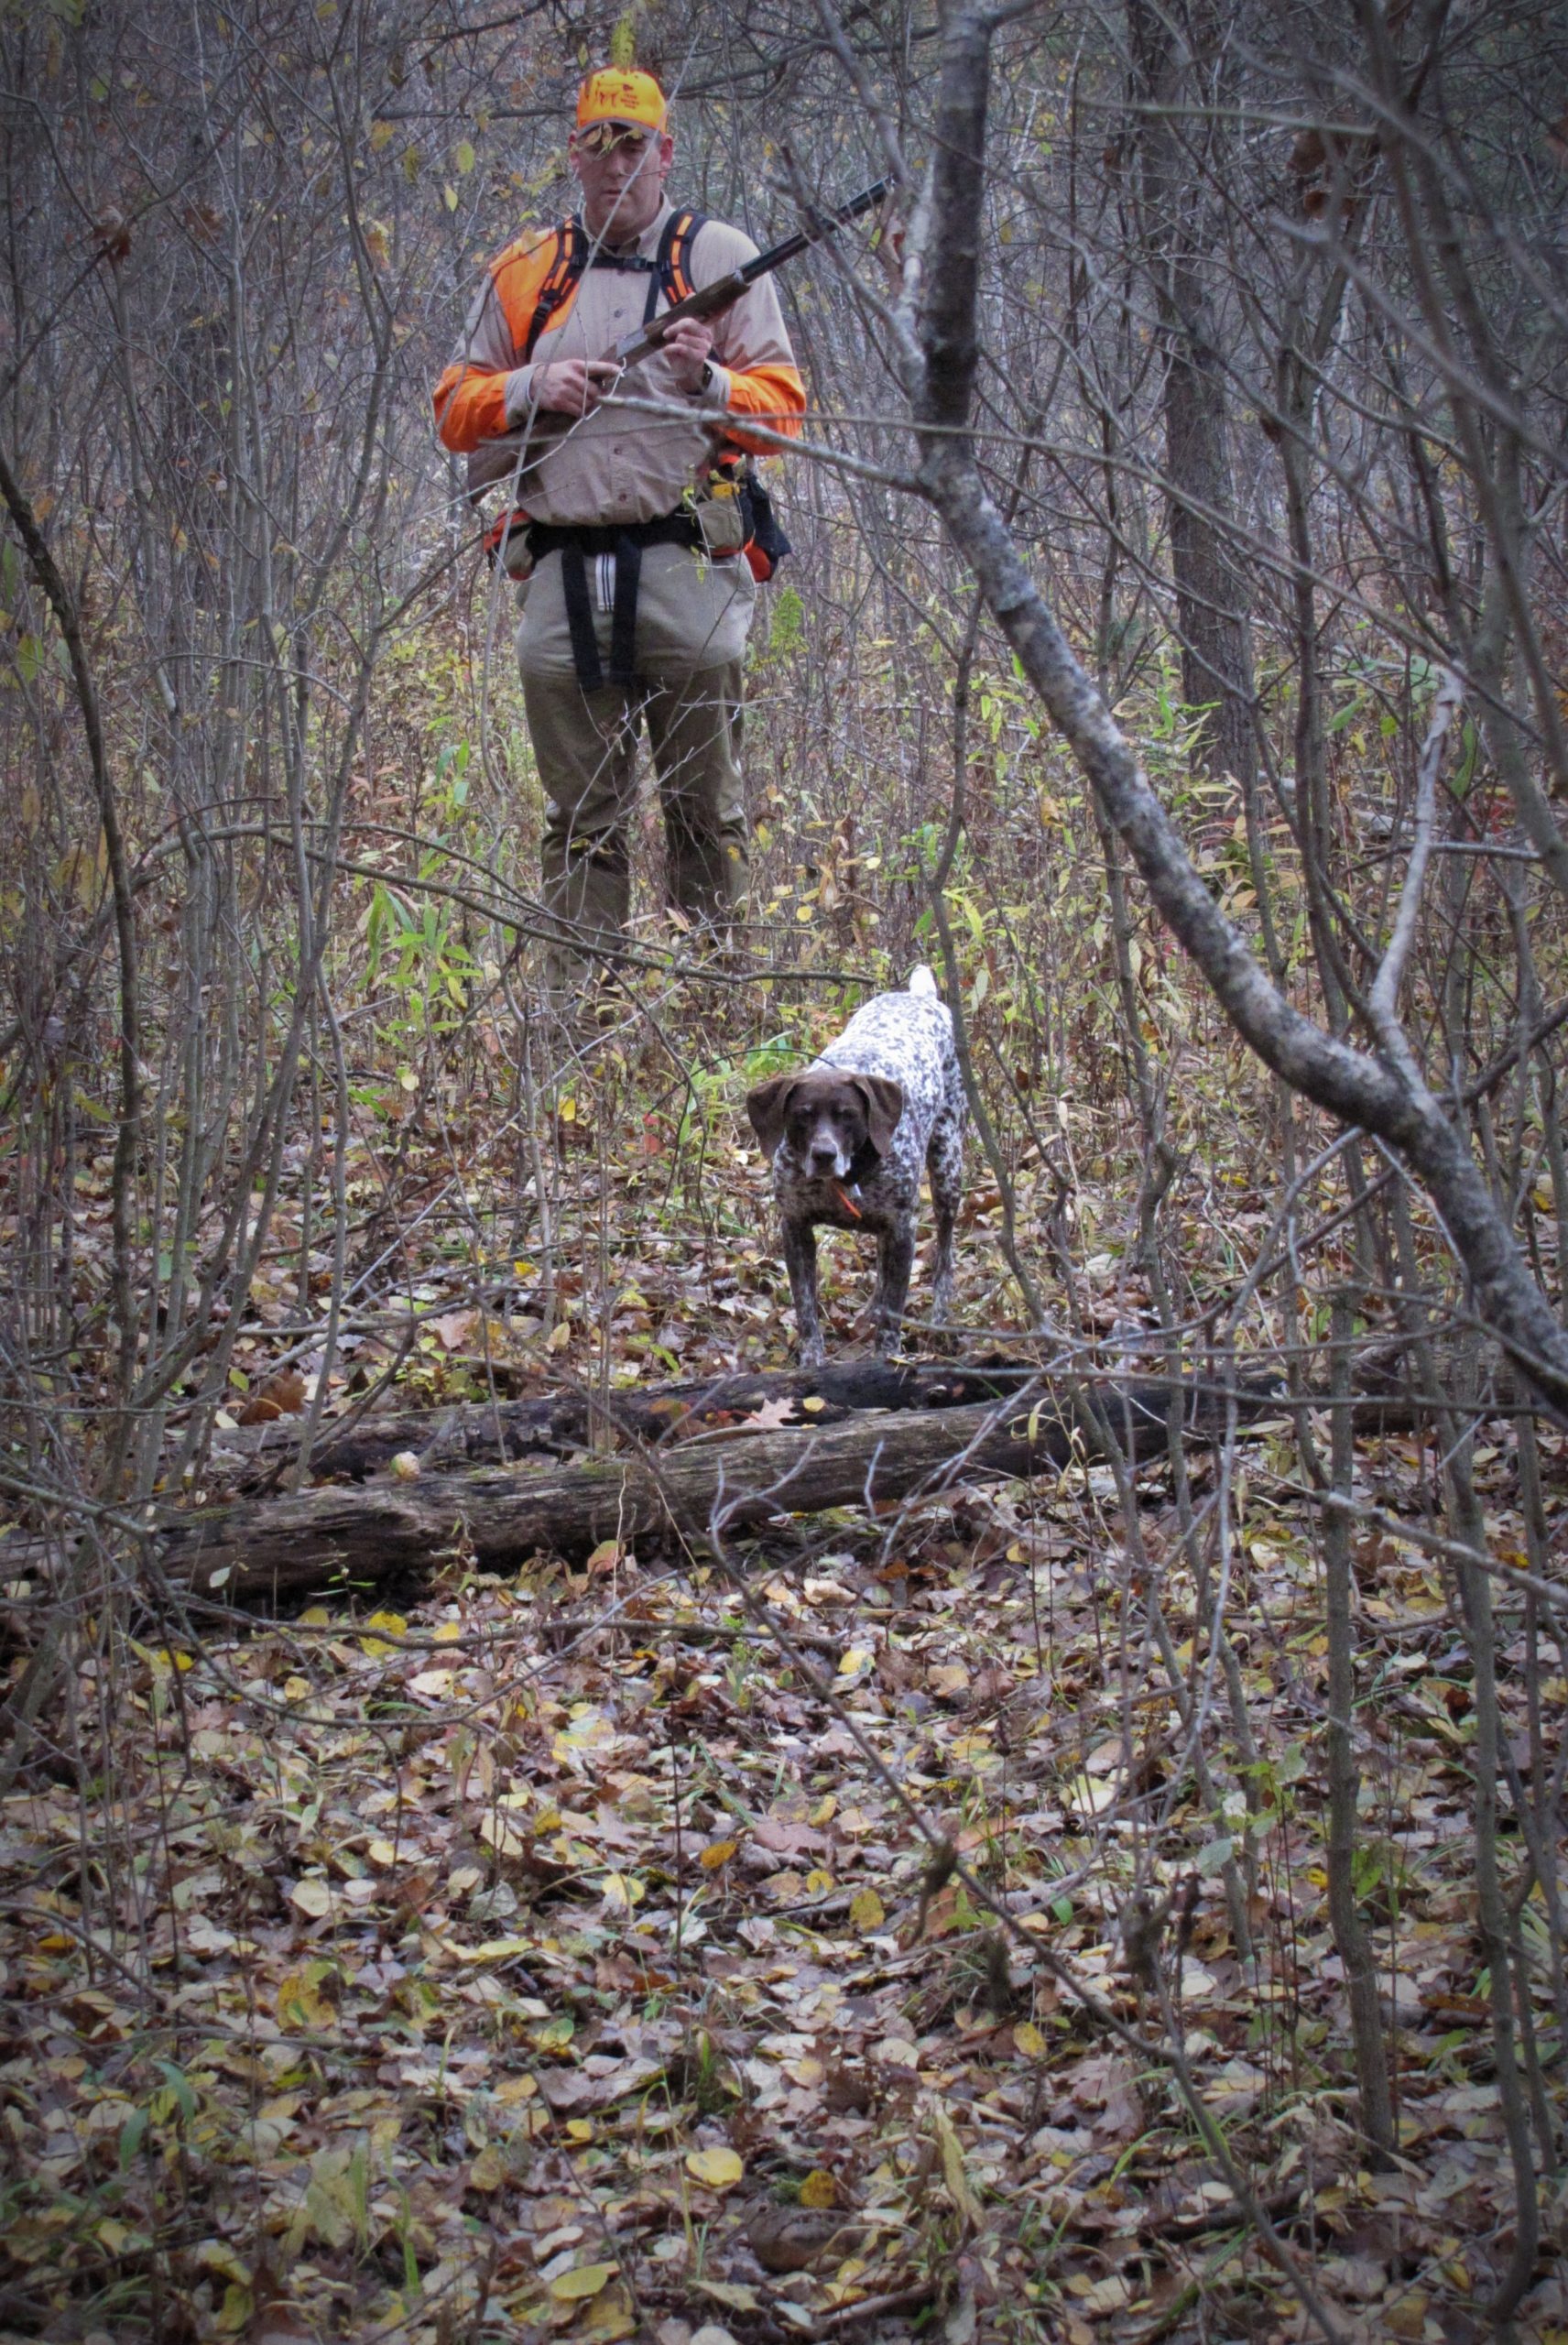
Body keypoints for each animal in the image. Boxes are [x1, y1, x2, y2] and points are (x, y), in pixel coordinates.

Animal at [745, 965, 961, 1369]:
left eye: (848, 1116)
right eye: (802, 1115)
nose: (824, 1154)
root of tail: (920, 997)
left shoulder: (903, 1229)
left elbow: (894, 1311)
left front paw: (887, 1357)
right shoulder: (795, 1227)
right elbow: (806, 1308)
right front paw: (811, 1361)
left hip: (948, 1169)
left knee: (945, 1256)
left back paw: (940, 1320)